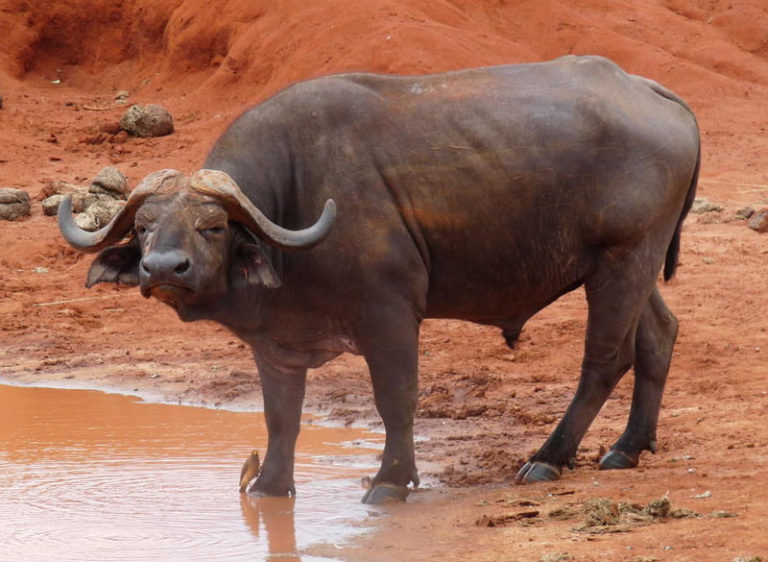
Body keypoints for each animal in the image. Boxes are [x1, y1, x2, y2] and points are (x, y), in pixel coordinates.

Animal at [57, 55, 700, 504]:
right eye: (144, 228)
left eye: (213, 227)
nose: (163, 269)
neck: (294, 204)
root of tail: (650, 91)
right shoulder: (276, 344)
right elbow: (281, 418)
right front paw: (270, 487)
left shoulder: (389, 318)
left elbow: (396, 399)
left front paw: (391, 480)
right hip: (628, 266)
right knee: (659, 335)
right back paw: (627, 448)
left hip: (623, 260)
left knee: (606, 357)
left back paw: (549, 457)